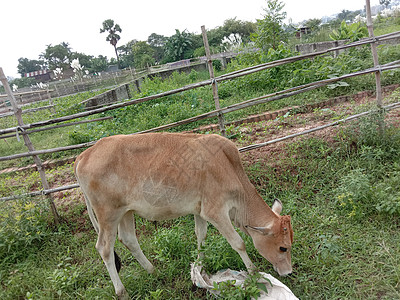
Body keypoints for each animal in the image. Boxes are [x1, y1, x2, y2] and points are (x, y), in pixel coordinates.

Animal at [74, 132, 294, 298]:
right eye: (283, 247)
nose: (289, 272)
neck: (228, 166)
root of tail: (85, 154)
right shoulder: (216, 211)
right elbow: (238, 243)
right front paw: (254, 273)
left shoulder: (200, 211)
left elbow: (201, 237)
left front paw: (200, 270)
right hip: (108, 214)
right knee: (104, 248)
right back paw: (122, 291)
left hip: (125, 211)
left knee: (128, 239)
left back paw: (153, 271)